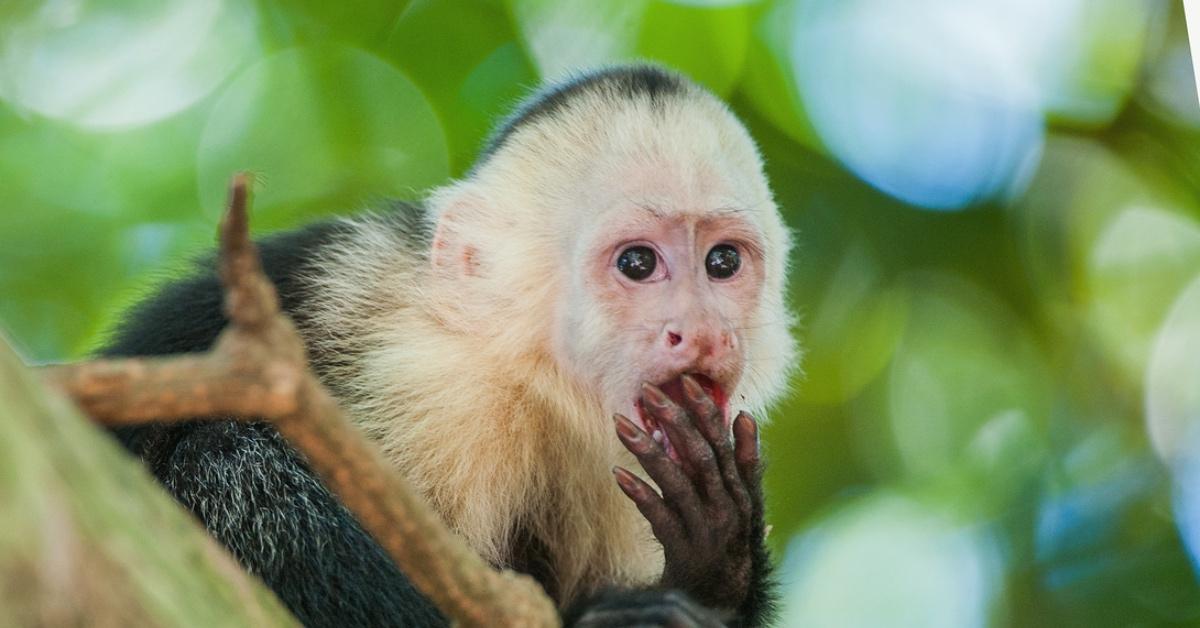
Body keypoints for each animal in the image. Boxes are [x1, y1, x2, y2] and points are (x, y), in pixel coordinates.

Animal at [103, 62, 796, 624]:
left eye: (723, 262)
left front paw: (714, 555)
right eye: (637, 264)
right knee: (225, 457)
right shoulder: (433, 395)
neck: (529, 380)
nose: (702, 330)